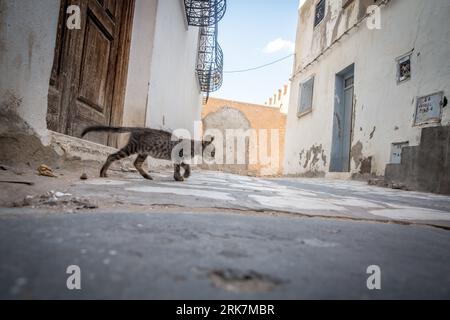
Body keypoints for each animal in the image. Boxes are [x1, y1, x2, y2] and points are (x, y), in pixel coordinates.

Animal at [81, 126, 215, 181]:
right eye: (213, 152)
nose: (214, 157)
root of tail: (139, 128)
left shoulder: (177, 159)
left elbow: (183, 166)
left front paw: (182, 175)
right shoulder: (178, 157)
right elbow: (181, 167)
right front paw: (181, 176)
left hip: (143, 152)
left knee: (136, 164)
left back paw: (147, 176)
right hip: (132, 148)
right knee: (111, 156)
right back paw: (103, 172)